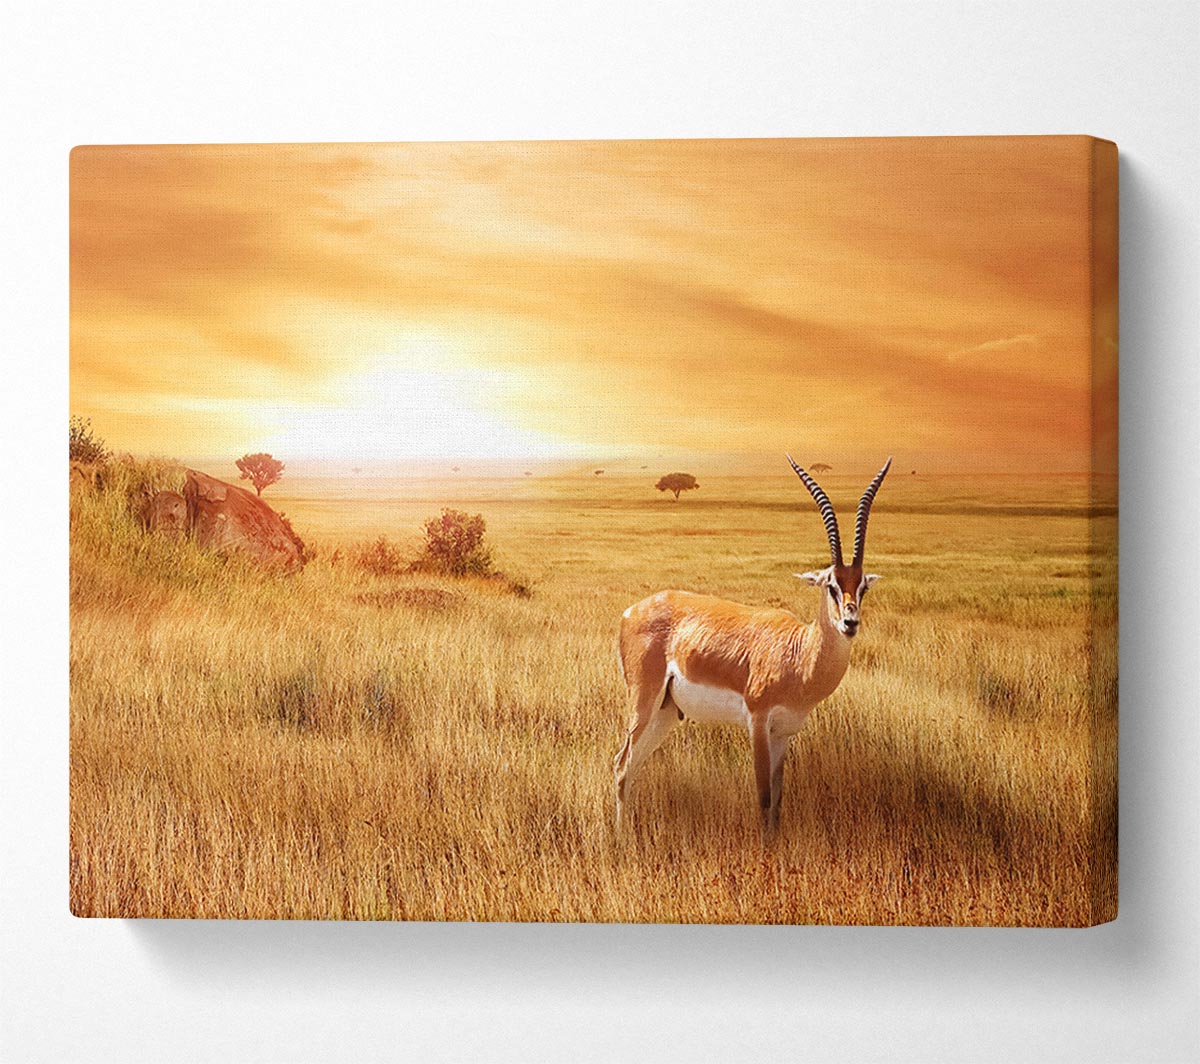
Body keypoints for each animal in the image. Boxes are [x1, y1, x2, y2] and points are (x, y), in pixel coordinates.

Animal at [613, 456, 892, 839]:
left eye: (862, 586)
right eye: (831, 585)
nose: (850, 623)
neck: (798, 655)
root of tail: (631, 611)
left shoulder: (784, 733)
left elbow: (778, 798)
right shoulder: (758, 722)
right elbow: (762, 796)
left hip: (666, 713)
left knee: (631, 765)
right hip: (644, 703)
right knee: (621, 765)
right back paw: (618, 838)